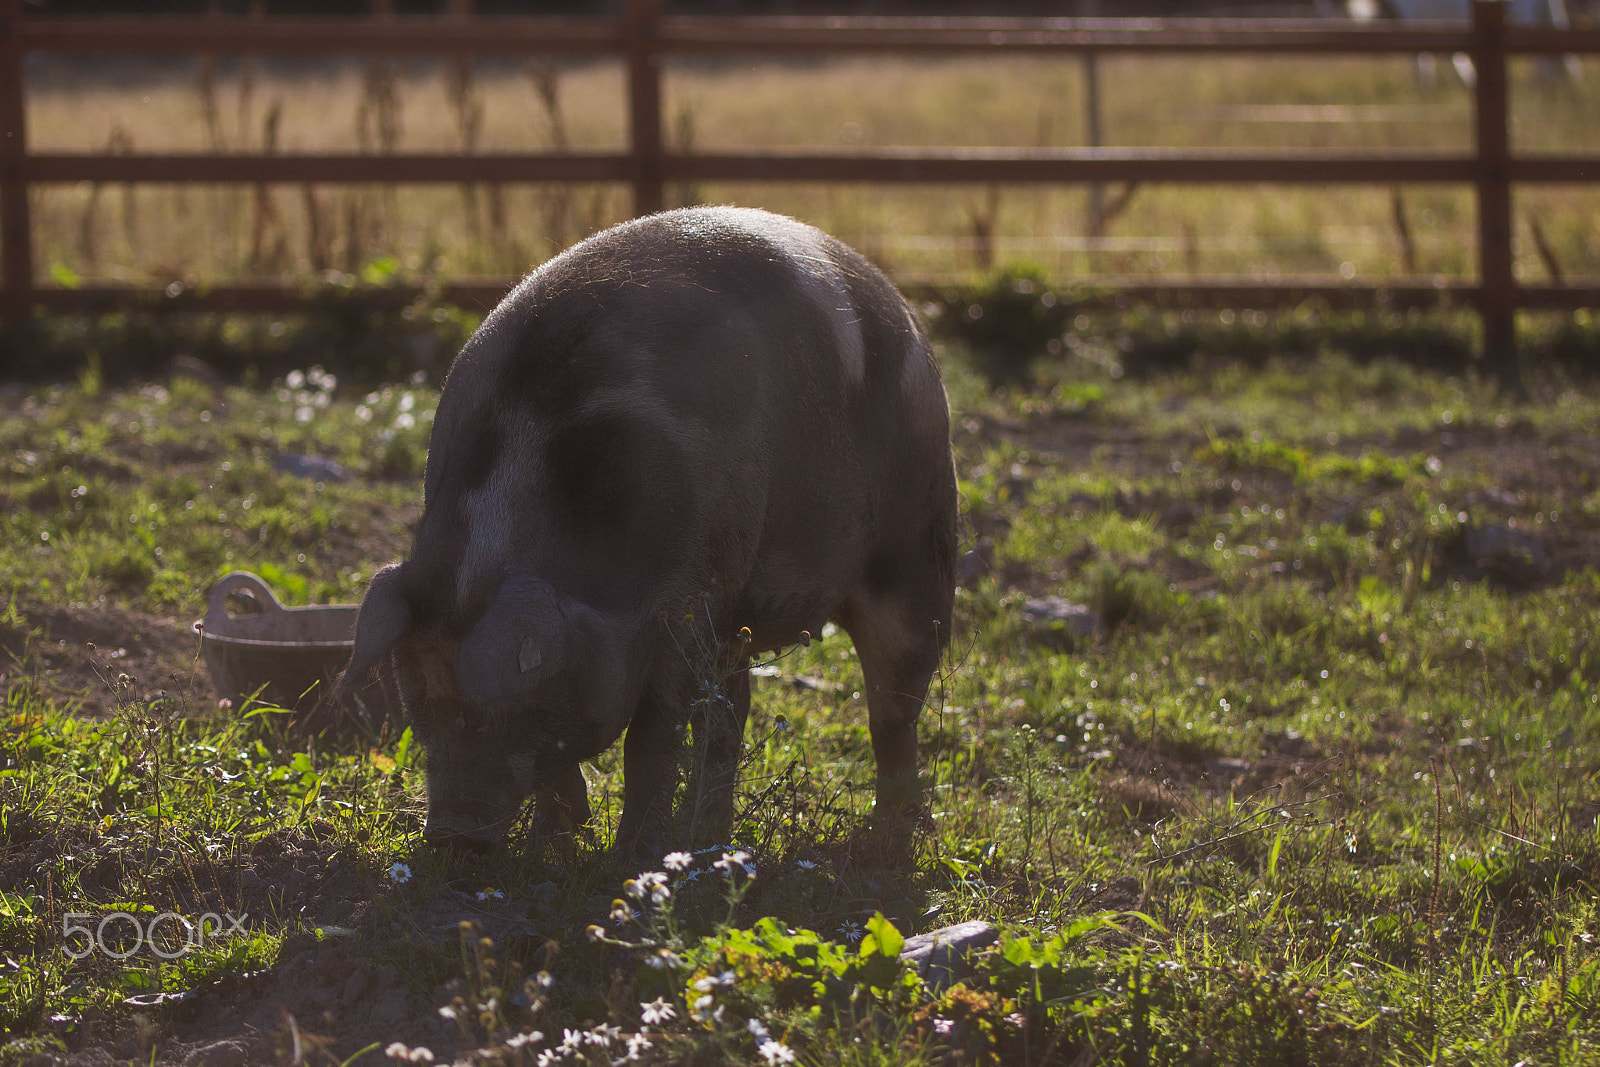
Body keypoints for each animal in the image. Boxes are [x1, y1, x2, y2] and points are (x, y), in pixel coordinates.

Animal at [339, 206, 953, 857]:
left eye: (509, 707)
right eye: (420, 702)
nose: (450, 835)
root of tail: (901, 308)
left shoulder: (687, 604)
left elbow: (651, 742)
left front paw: (630, 854)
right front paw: (557, 841)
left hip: (919, 545)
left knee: (893, 708)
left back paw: (890, 838)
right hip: (737, 623)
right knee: (731, 712)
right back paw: (709, 837)